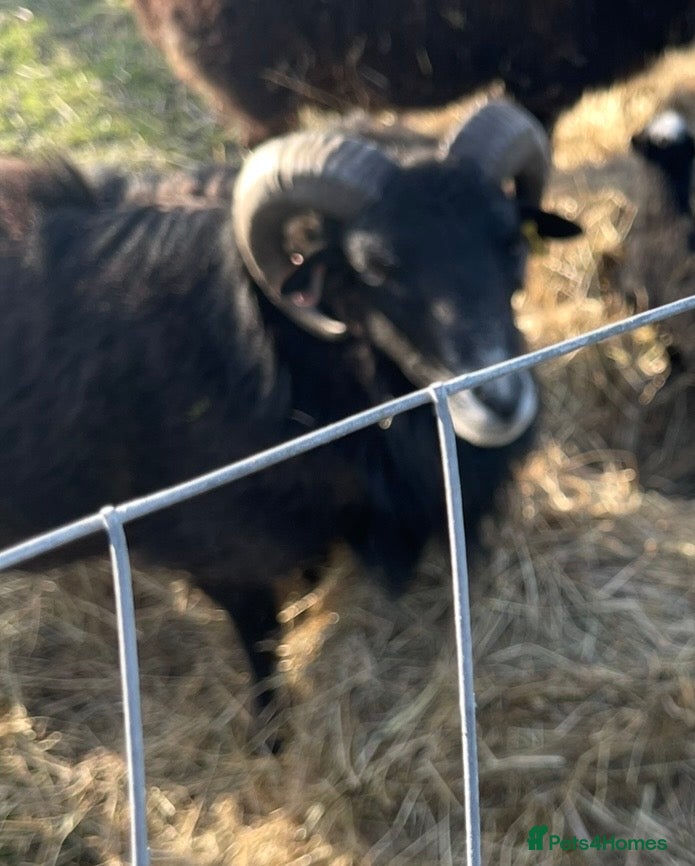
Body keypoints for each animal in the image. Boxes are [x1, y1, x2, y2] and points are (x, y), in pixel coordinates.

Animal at [0, 101, 580, 698]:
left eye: (510, 242)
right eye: (374, 266)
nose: (500, 401)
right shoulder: (223, 562)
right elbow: (262, 651)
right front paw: (272, 722)